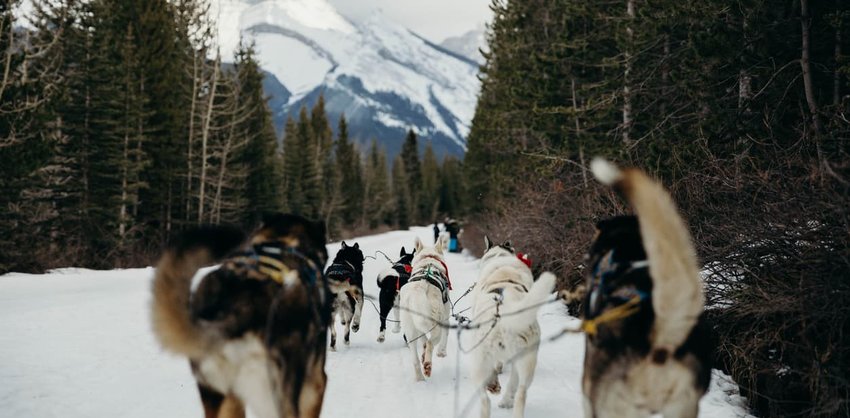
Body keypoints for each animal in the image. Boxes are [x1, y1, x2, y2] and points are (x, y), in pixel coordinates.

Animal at [398, 237, 450, 380]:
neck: (429, 260)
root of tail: (420, 287)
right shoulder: (446, 317)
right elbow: (444, 336)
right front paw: (442, 352)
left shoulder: (419, 328)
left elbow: (423, 341)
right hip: (437, 325)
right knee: (432, 343)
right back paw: (427, 365)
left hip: (410, 332)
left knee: (415, 359)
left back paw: (420, 377)